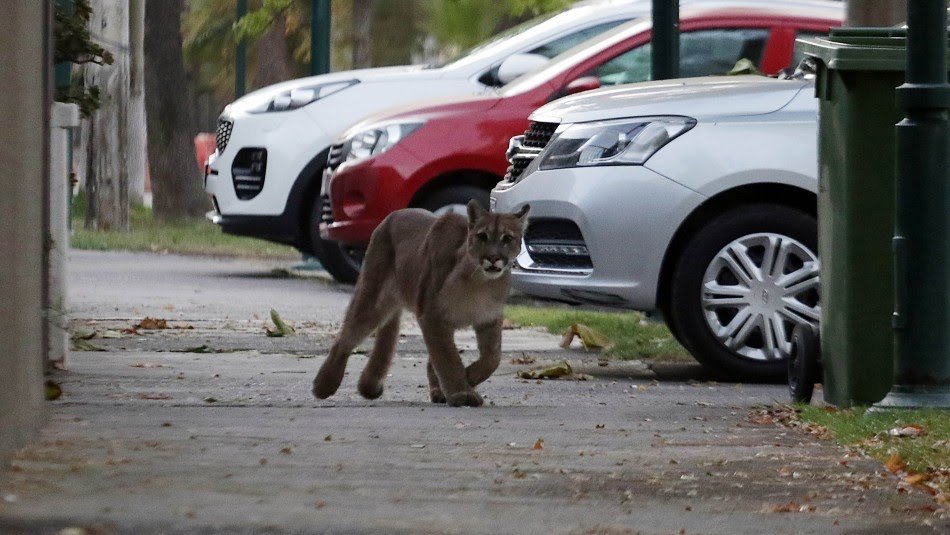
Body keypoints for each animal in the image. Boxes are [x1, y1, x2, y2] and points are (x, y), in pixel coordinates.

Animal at [314, 200, 532, 406]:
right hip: (374, 299)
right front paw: (462, 392)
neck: (479, 281)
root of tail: (392, 215)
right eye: (482, 236)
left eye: (507, 238)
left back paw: (433, 391)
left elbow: (492, 359)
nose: (493, 258)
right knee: (345, 338)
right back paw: (323, 385)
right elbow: (448, 358)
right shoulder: (431, 315)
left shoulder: (488, 318)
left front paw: (466, 380)